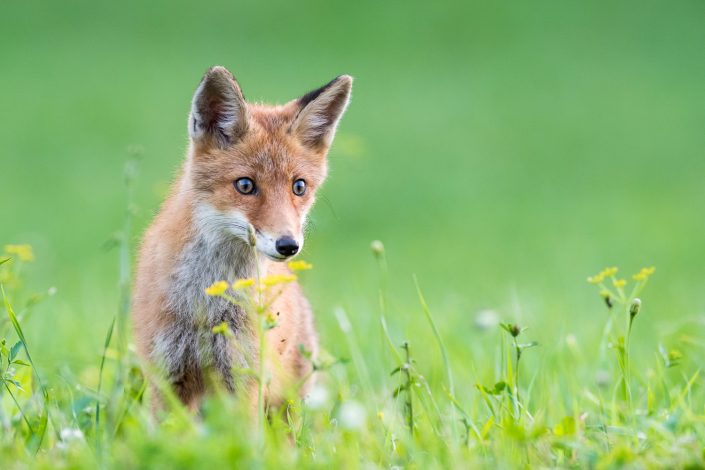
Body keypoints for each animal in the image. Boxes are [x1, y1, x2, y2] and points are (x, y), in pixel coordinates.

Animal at [132, 66, 352, 412]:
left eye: (299, 186)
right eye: (245, 185)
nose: (288, 245)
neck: (208, 299)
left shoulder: (243, 377)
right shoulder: (166, 377)